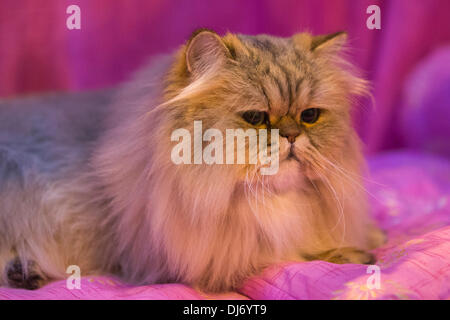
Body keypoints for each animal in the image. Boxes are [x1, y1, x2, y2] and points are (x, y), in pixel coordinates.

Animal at [0, 30, 384, 292]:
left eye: (309, 116)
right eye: (256, 118)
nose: (291, 136)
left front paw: (371, 235)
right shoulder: (211, 257)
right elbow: (296, 254)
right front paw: (352, 253)